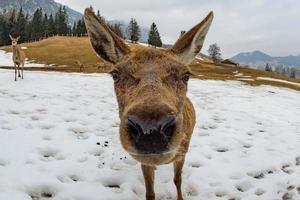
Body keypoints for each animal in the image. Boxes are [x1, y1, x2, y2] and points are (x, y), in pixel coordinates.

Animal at [83, 8, 212, 200]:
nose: (150, 129)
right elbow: (149, 192)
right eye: (115, 74)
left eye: (186, 75)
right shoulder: (144, 162)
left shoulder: (182, 153)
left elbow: (178, 180)